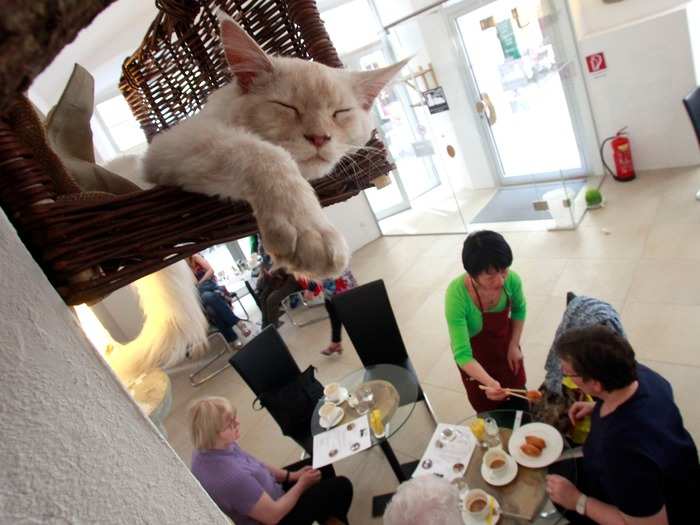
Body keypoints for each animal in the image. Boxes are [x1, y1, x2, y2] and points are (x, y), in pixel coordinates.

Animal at [146, 15, 410, 278]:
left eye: (340, 112)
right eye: (287, 107)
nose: (319, 138)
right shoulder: (174, 143)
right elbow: (268, 155)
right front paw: (310, 231)